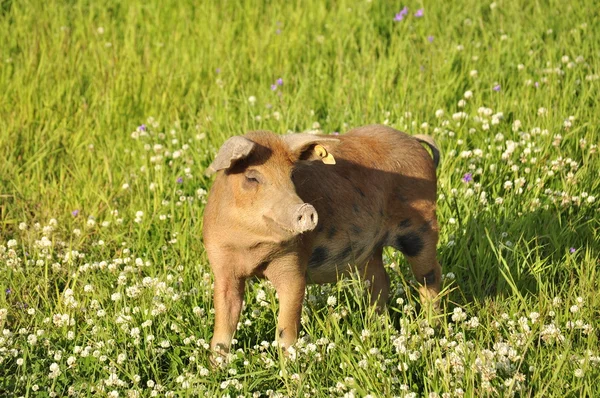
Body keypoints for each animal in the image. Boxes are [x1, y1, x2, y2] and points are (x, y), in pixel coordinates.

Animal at [204, 123, 442, 358]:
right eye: (252, 177)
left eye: (291, 176)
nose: (306, 209)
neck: (250, 246)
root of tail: (413, 141)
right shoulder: (222, 267)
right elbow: (224, 324)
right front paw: (217, 364)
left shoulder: (293, 263)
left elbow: (286, 328)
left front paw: (289, 365)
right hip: (369, 250)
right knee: (381, 281)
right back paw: (375, 325)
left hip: (422, 226)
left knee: (429, 278)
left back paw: (432, 327)